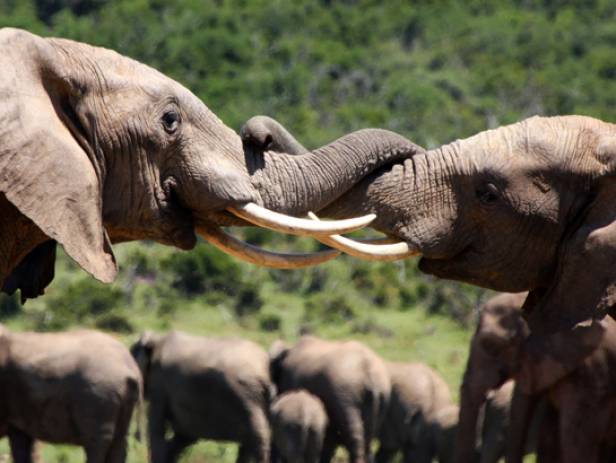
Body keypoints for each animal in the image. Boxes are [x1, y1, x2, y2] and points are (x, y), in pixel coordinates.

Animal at [131, 332, 274, 462]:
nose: (137, 437)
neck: (157, 339)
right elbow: (184, 435)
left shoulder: (160, 385)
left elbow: (158, 429)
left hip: (247, 395)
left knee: (258, 438)